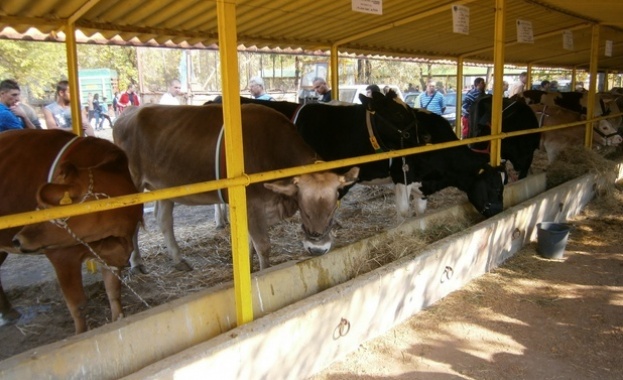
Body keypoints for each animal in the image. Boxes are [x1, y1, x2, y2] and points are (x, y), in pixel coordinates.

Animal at [0, 130, 144, 332]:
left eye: (51, 205)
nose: (17, 239)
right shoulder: (62, 255)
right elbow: (77, 304)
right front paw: (81, 333)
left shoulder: (113, 253)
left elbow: (113, 291)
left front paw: (118, 320)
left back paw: (8, 312)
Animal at [113, 102, 360, 272]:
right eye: (304, 207)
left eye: (334, 206)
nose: (318, 249)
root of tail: (129, 113)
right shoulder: (252, 204)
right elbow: (263, 246)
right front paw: (264, 274)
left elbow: (249, 245)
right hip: (133, 185)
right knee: (133, 225)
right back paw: (136, 262)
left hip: (165, 185)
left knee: (164, 219)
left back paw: (178, 259)